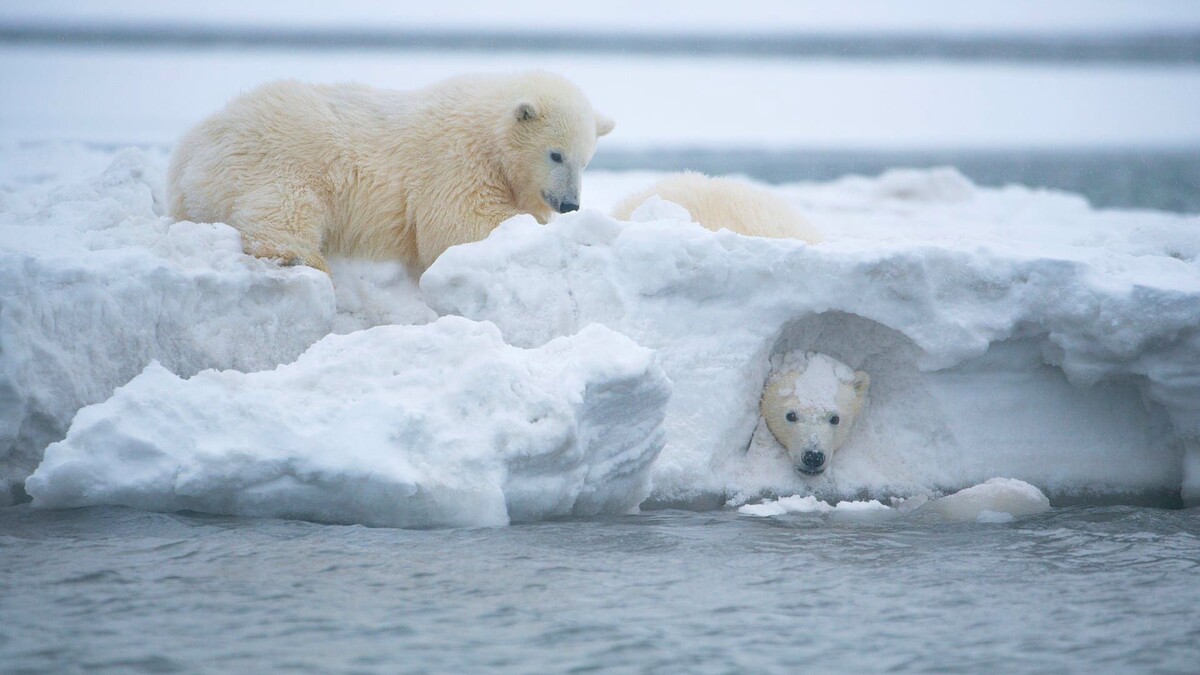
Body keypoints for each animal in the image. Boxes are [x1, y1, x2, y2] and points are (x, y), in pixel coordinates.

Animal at [168, 72, 614, 271]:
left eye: (585, 159)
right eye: (556, 154)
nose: (571, 205)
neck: (487, 133)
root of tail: (185, 153)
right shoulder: (456, 162)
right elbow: (460, 227)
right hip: (277, 156)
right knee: (284, 208)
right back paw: (298, 258)